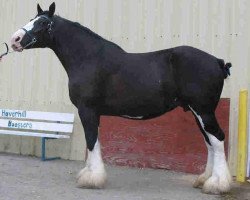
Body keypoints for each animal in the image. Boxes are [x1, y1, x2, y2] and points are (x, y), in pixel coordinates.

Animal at [10, 2, 232, 194]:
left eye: (43, 23)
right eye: (32, 19)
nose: (15, 40)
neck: (88, 58)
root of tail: (217, 61)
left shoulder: (87, 110)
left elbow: (91, 140)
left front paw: (92, 179)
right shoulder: (93, 112)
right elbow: (94, 141)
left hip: (203, 111)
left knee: (218, 139)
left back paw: (217, 184)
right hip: (198, 112)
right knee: (209, 142)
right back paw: (204, 179)